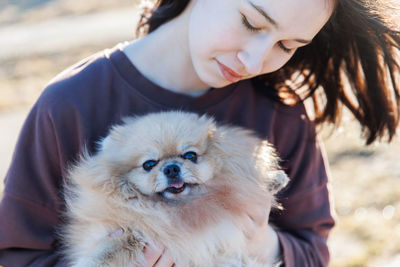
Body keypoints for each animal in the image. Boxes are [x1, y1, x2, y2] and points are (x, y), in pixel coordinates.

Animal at [61, 111, 288, 266]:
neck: (176, 210)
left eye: (190, 155)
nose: (171, 168)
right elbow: (107, 251)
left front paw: (273, 179)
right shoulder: (129, 232)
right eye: (149, 164)